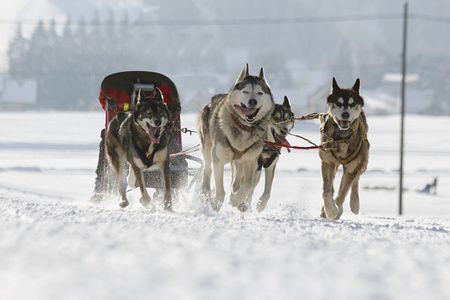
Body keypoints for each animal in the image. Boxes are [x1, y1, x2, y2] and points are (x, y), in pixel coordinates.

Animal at [199, 64, 276, 212]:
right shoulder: (218, 160)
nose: (253, 101)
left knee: (237, 181)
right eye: (245, 91)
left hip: (239, 161)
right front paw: (216, 205)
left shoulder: (251, 161)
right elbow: (220, 191)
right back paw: (205, 192)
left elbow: (248, 184)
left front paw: (235, 200)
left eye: (260, 93)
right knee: (207, 169)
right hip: (208, 148)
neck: (244, 127)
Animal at [316, 77, 370, 218]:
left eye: (352, 104)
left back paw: (354, 203)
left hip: (363, 162)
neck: (343, 138)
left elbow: (342, 193)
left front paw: (337, 210)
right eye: (339, 103)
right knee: (332, 188)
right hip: (334, 164)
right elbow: (326, 191)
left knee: (356, 180)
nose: (345, 114)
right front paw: (330, 210)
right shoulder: (327, 162)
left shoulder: (352, 167)